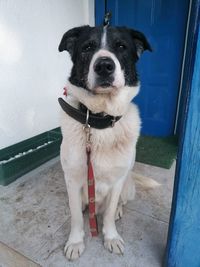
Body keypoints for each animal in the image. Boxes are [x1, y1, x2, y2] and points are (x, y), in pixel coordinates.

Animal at [58, 24, 151, 260]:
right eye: (87, 47)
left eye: (121, 47)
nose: (104, 66)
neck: (99, 119)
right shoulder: (72, 179)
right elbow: (75, 216)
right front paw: (75, 241)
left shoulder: (117, 181)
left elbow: (108, 214)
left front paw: (111, 237)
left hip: (127, 185)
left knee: (117, 203)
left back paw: (117, 210)